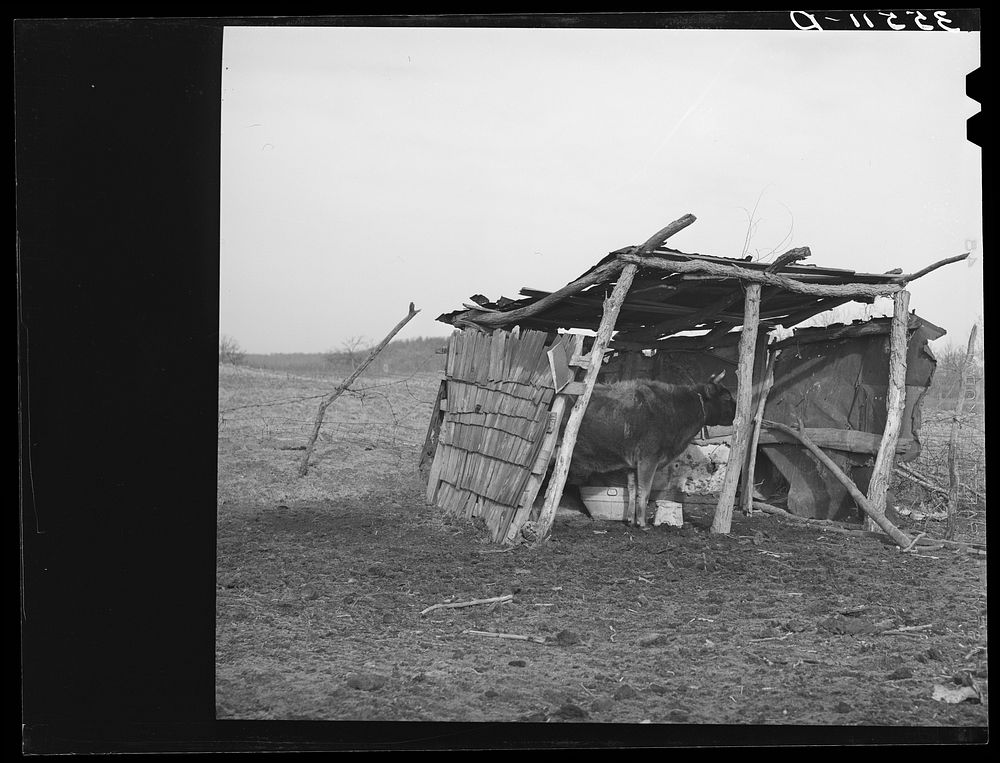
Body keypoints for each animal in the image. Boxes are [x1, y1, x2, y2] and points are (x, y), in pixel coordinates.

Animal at [568, 374, 740, 528]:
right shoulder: (649, 458)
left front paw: (631, 520)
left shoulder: (632, 466)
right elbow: (645, 491)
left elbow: (633, 491)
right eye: (726, 397)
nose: (737, 412)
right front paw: (643, 524)